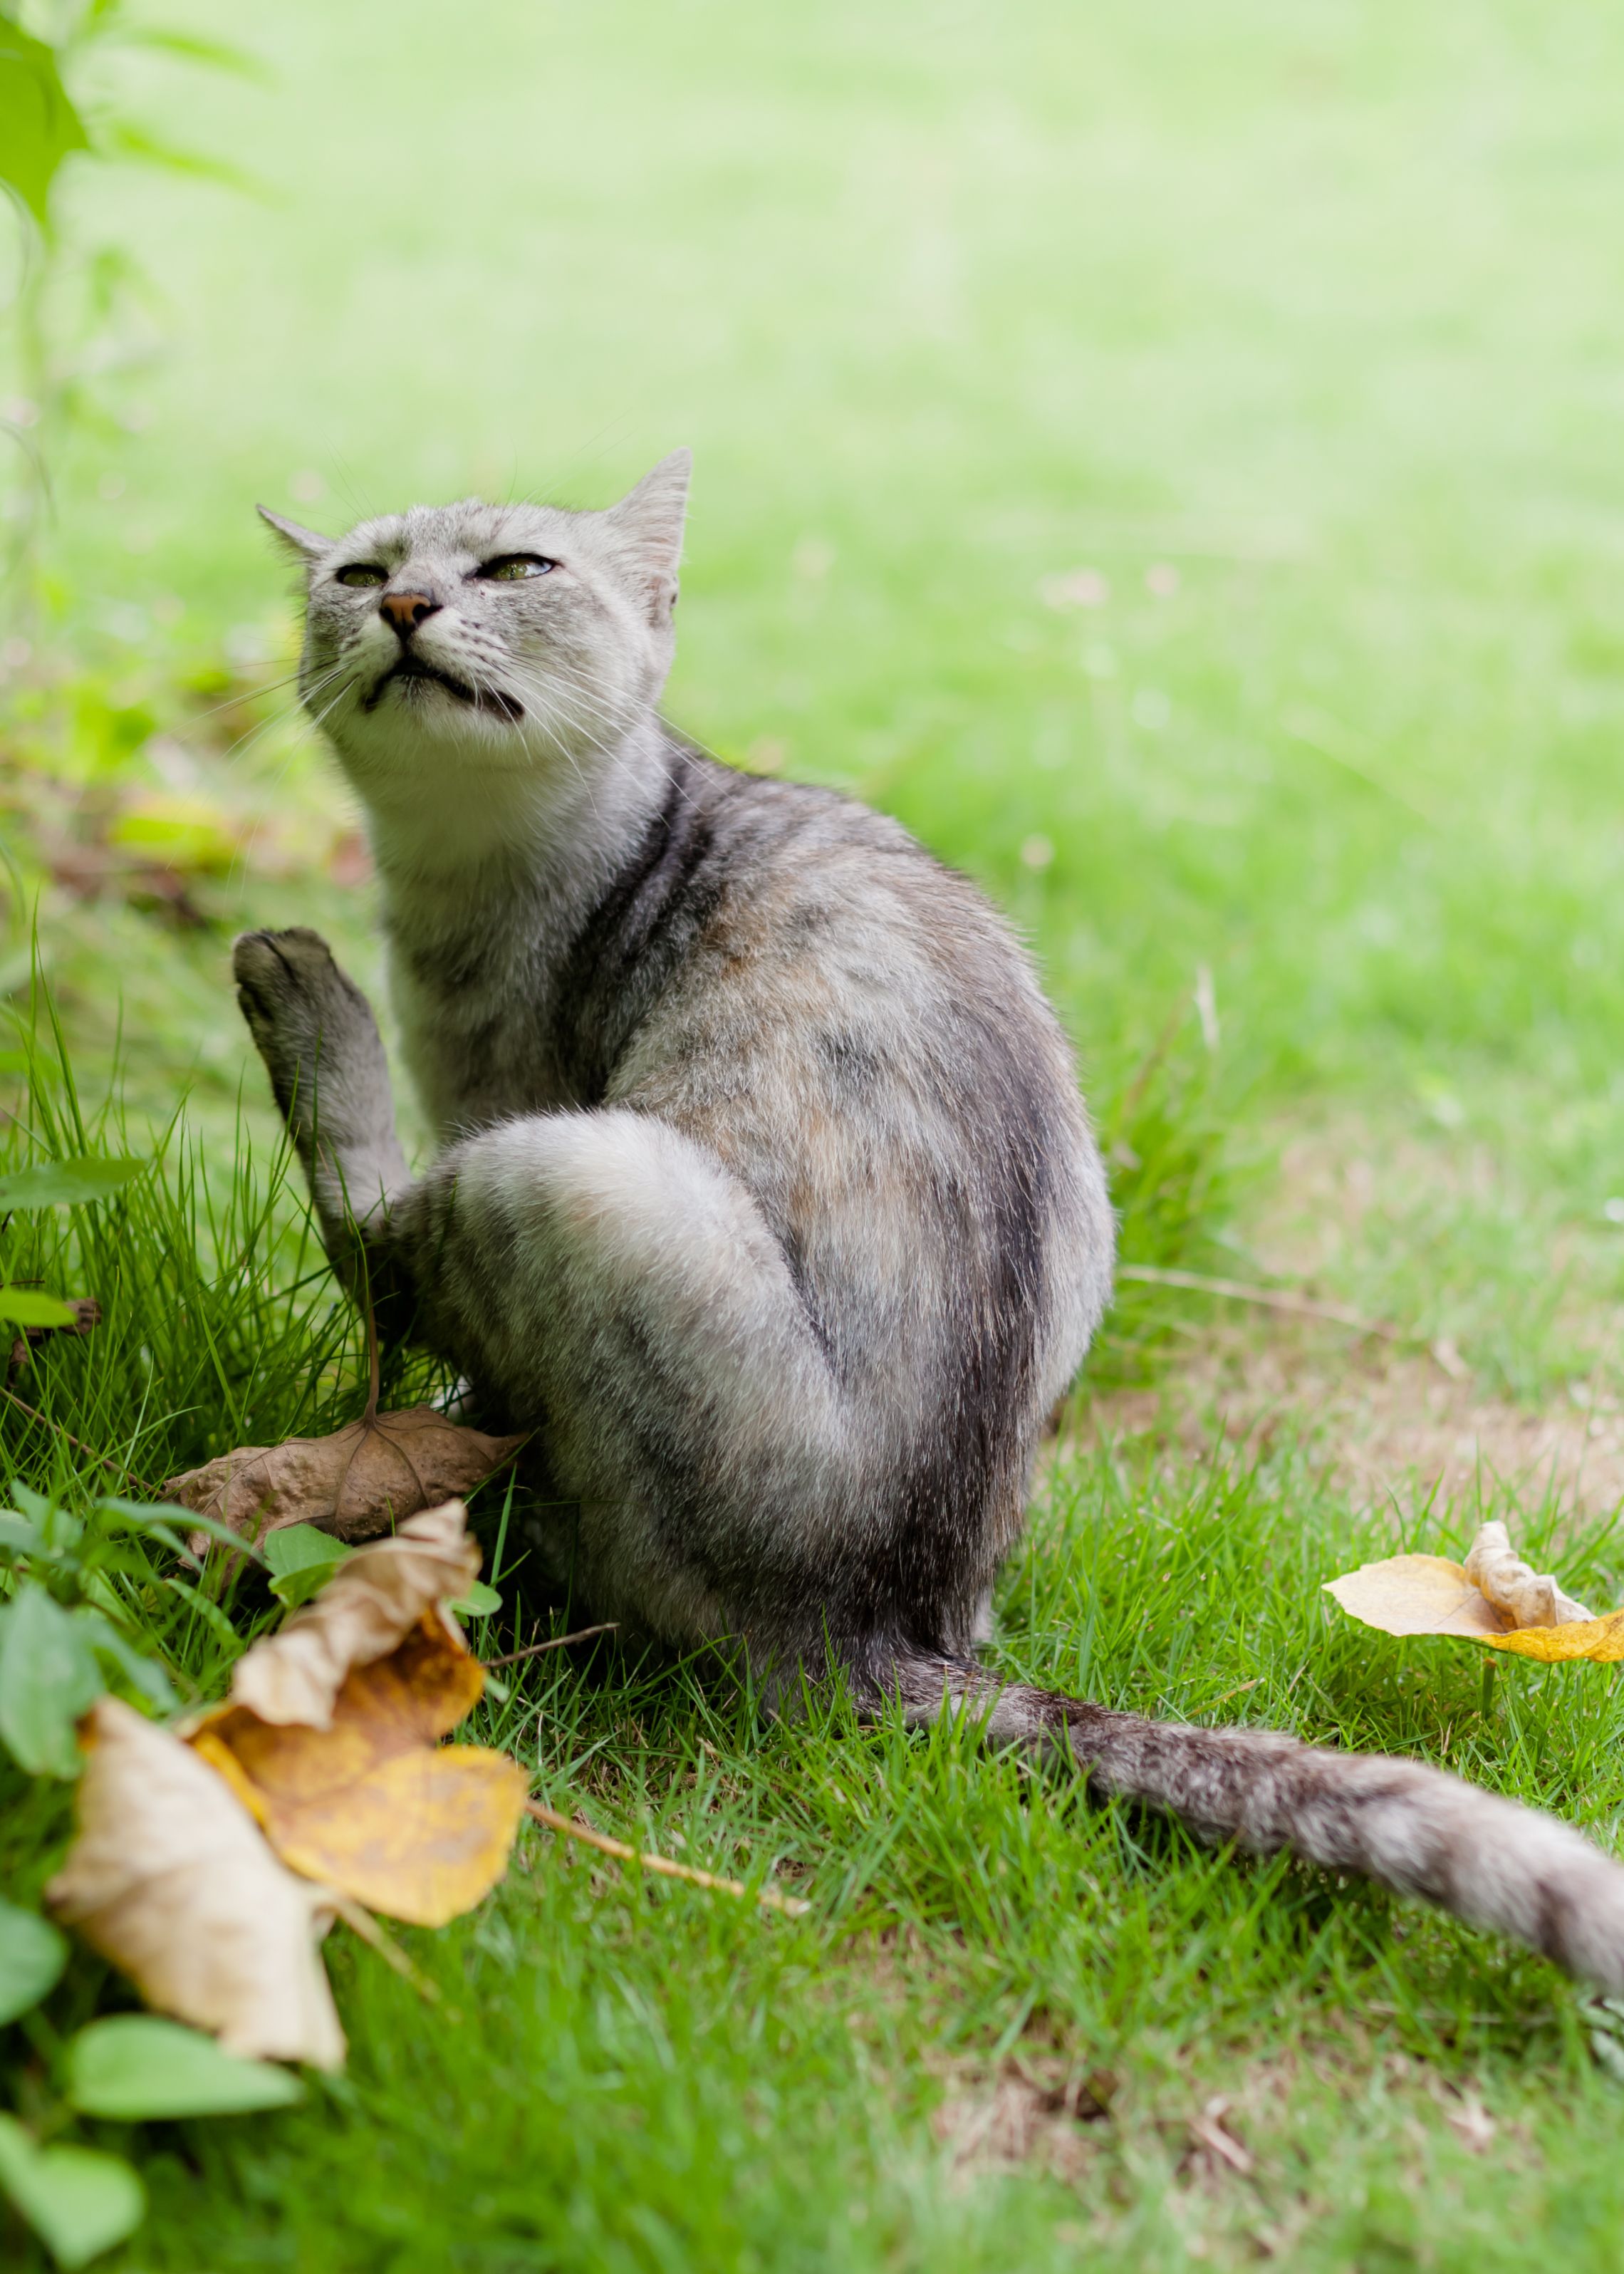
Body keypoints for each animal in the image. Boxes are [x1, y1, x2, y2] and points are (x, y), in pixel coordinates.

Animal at [239, 457, 1619, 1992]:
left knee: (377, 1253)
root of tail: (889, 1628)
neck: (482, 869)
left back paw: (301, 1002)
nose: (408, 607)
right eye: (361, 577)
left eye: (518, 569)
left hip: (567, 1174)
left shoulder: (508, 1104)